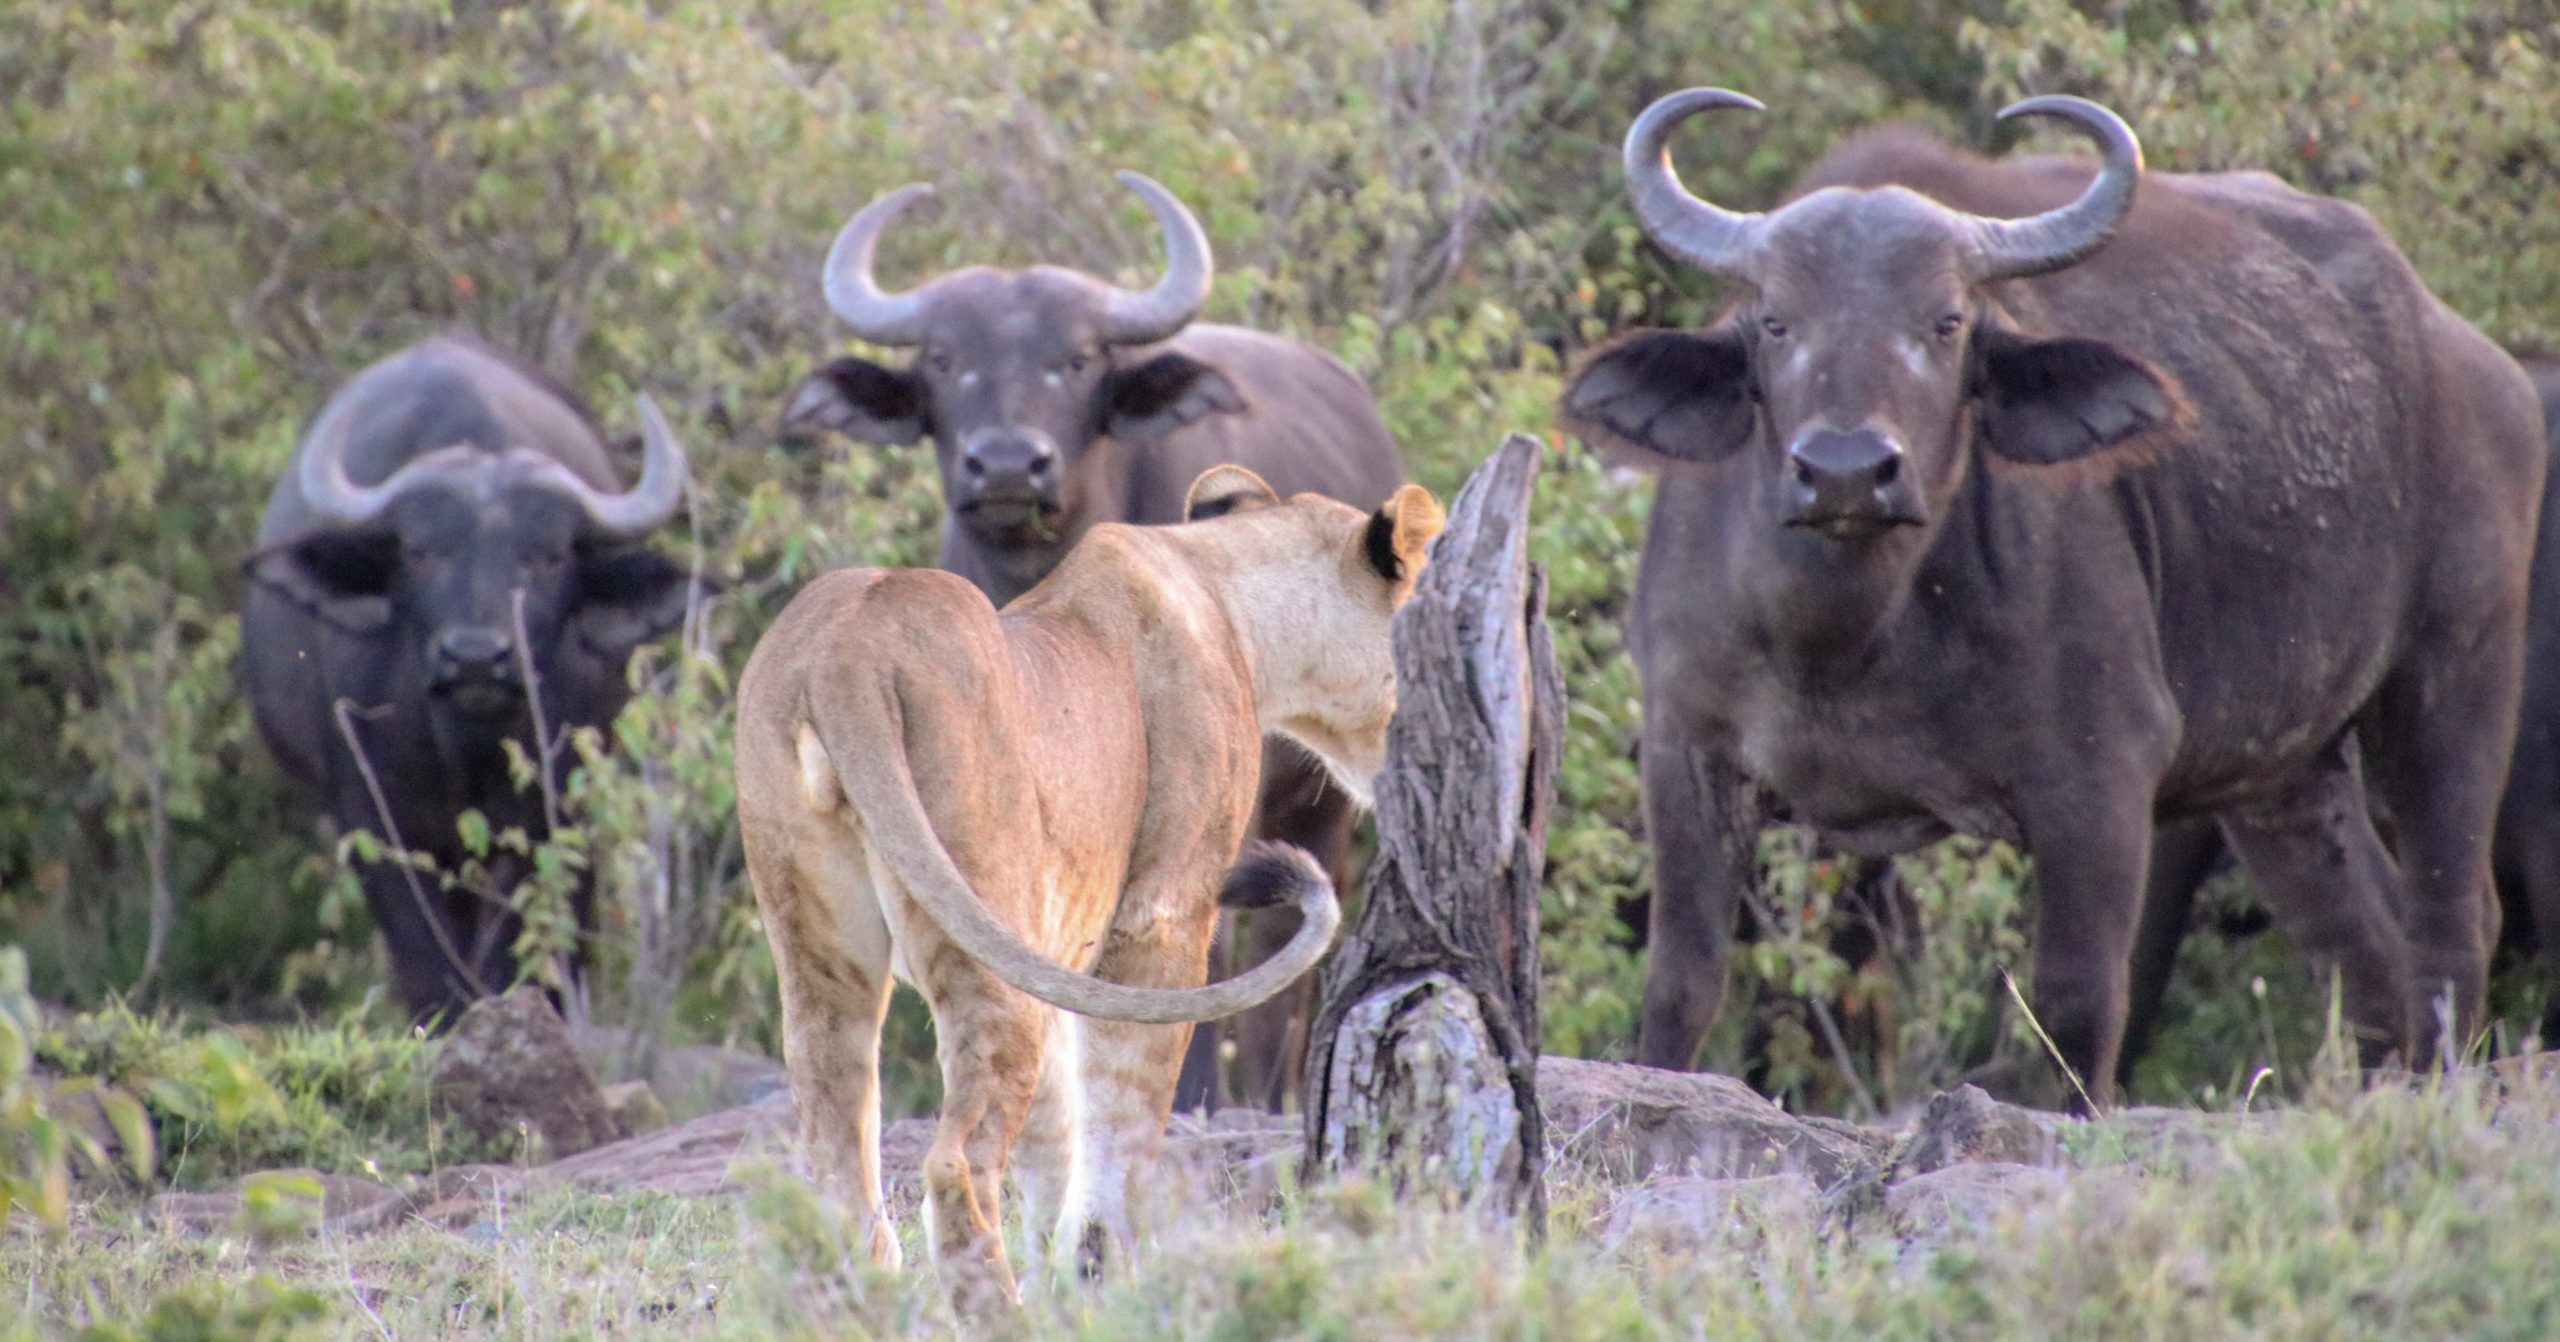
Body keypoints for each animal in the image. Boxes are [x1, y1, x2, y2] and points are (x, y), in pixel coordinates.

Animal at [733, 464, 1444, 1310]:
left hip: (822, 950)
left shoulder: (1055, 943)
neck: (1231, 598)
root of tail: (846, 654)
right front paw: (1107, 1278)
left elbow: (1055, 1138)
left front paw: (1063, 1281)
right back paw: (1000, 1314)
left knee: (838, 1159)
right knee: (956, 1163)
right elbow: (1124, 1124)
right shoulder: (1160, 919)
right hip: (985, 930)